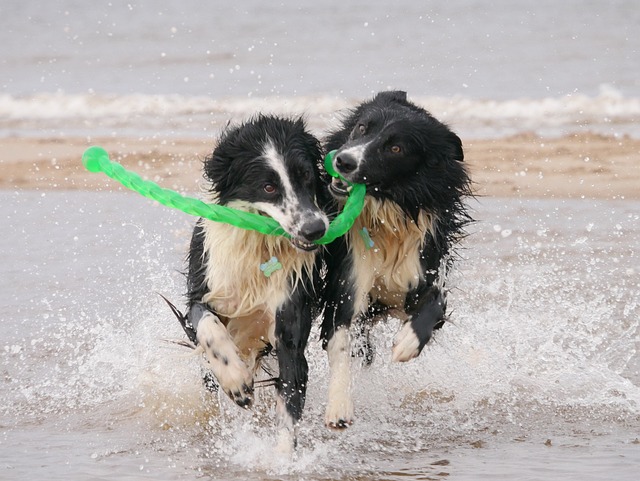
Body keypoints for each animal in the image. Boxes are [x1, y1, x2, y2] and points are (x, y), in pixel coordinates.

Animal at [168, 114, 328, 448]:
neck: (262, 247)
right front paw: (236, 383)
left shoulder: (290, 317)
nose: (315, 229)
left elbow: (290, 393)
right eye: (268, 187)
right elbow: (206, 324)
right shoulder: (205, 290)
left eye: (306, 175)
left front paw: (282, 454)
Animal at [318, 90, 470, 428]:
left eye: (396, 148)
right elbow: (341, 337)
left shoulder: (426, 260)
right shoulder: (349, 273)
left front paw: (407, 343)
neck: (388, 209)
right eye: (362, 127)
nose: (343, 161)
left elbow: (435, 303)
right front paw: (339, 407)